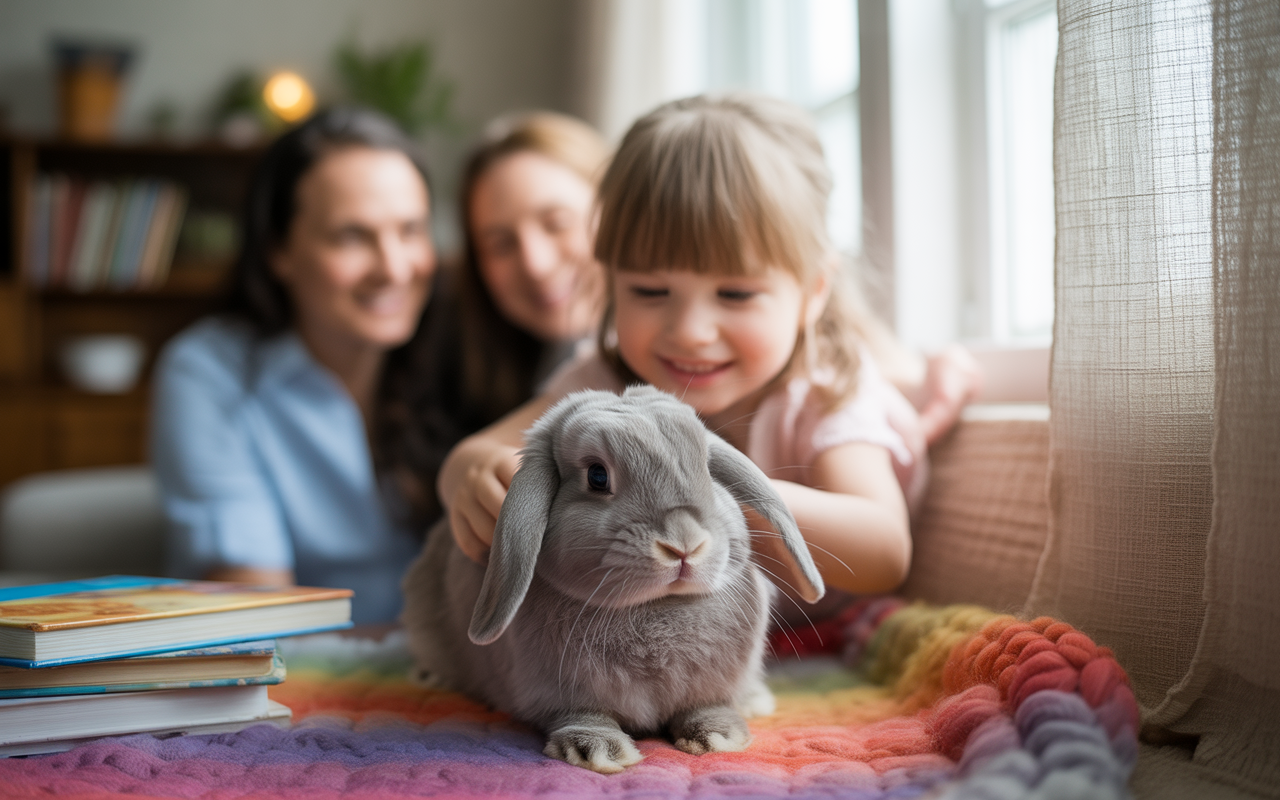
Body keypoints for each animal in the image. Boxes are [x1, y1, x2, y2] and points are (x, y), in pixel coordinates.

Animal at [400, 385, 824, 773]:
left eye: (708, 468)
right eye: (597, 476)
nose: (685, 544)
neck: (655, 608)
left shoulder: (709, 689)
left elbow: (706, 708)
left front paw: (720, 737)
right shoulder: (563, 695)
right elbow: (585, 718)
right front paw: (599, 751)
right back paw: (431, 676)